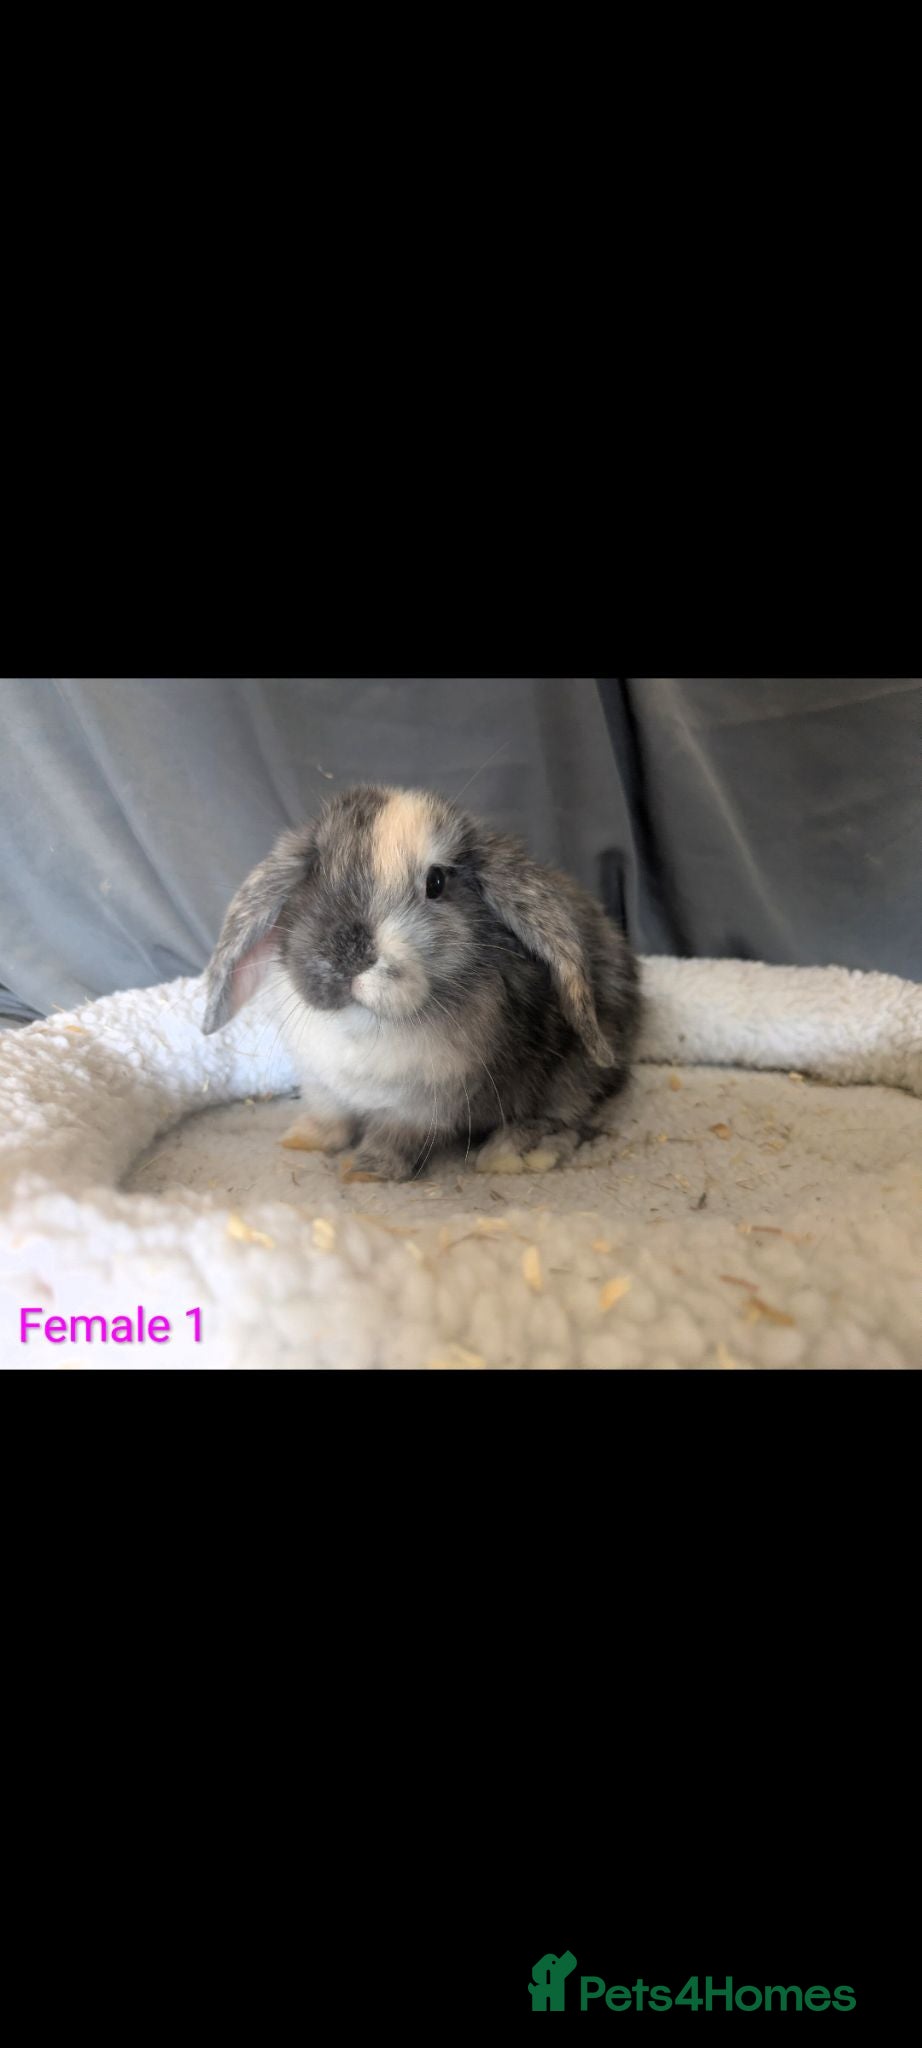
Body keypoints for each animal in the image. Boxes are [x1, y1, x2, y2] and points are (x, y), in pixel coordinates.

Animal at [201, 785, 641, 1182]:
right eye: (315, 870)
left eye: (436, 883)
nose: (349, 956)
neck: (361, 1025)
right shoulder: (322, 1085)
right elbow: (330, 1117)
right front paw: (301, 1139)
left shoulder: (420, 1108)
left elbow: (392, 1139)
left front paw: (364, 1171)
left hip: (573, 1076)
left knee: (565, 1120)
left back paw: (510, 1155)